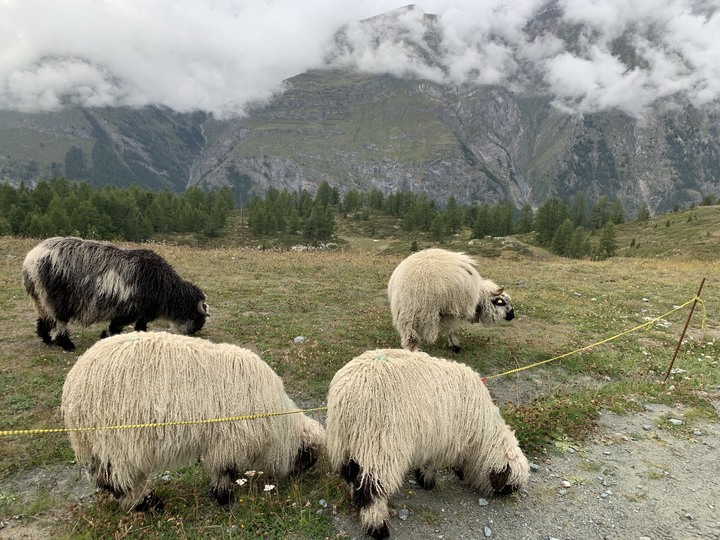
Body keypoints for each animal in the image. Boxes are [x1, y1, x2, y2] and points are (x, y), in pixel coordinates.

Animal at [21, 236, 208, 350]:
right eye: (197, 316)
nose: (194, 332)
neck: (163, 286)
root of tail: (31, 259)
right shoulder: (127, 310)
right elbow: (115, 327)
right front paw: (106, 337)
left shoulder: (141, 312)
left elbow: (140, 327)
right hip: (57, 299)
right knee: (59, 321)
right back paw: (66, 344)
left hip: (40, 298)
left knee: (45, 318)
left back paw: (46, 339)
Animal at [60, 330, 324, 510]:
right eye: (308, 455)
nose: (302, 479)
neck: (277, 423)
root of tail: (73, 385)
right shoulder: (228, 441)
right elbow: (224, 471)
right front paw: (224, 497)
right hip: (117, 441)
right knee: (117, 479)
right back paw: (146, 504)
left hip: (103, 442)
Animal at [326, 348, 528, 536]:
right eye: (509, 485)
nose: (506, 496)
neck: (482, 433)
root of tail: (347, 392)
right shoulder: (443, 441)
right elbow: (431, 464)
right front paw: (428, 481)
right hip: (379, 446)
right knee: (371, 490)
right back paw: (377, 527)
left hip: (347, 443)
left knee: (351, 474)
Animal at [386, 249, 516, 354]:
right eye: (502, 302)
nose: (512, 316)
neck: (477, 296)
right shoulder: (452, 310)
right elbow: (451, 329)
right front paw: (455, 346)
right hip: (423, 310)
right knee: (412, 339)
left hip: (406, 312)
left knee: (409, 337)